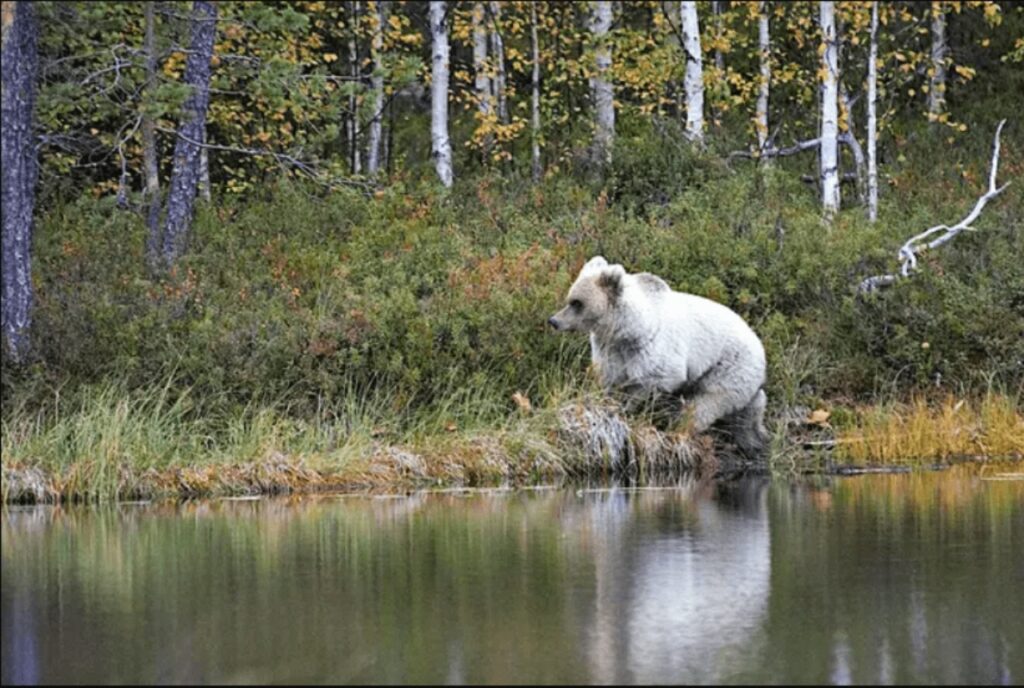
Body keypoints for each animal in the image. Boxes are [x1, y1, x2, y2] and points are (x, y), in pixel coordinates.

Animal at [552, 256, 770, 456]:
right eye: (570, 299)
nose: (553, 321)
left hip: (729, 368)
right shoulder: (611, 351)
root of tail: (760, 346)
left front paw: (629, 406)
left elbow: (654, 380)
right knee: (749, 409)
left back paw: (680, 429)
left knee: (706, 404)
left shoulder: (654, 353)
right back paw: (752, 438)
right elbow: (609, 379)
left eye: (577, 302)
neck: (628, 332)